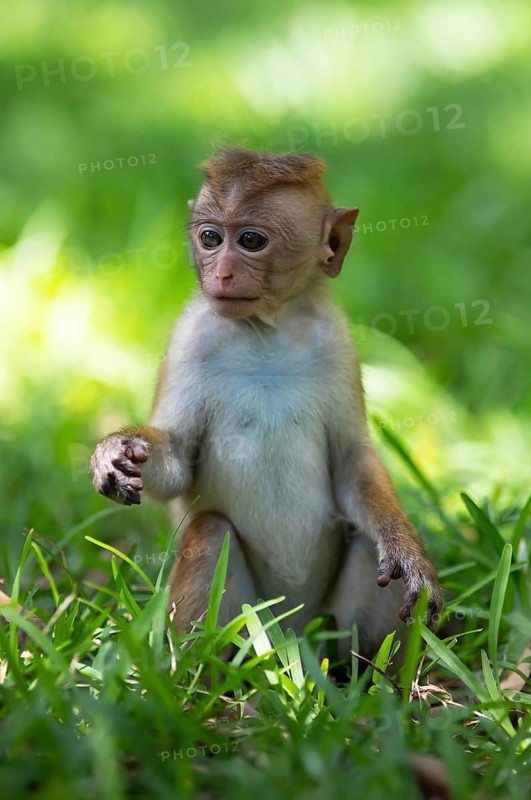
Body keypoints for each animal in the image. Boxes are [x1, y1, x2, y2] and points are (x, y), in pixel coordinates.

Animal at [90, 147, 442, 659]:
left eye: (252, 240)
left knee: (365, 546)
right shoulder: (188, 339)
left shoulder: (337, 345)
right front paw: (117, 451)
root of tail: (291, 632)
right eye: (210, 238)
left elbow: (351, 461)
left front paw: (409, 552)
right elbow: (178, 459)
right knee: (211, 531)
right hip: (247, 618)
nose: (222, 272)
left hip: (326, 620)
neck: (265, 331)